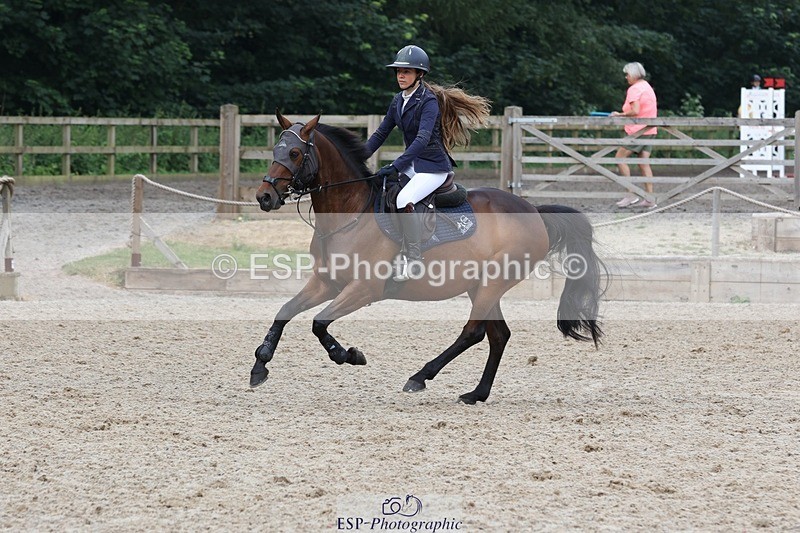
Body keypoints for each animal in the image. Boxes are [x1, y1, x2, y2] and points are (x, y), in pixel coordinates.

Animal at [250, 112, 606, 404]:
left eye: (295, 153)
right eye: (275, 151)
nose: (264, 197)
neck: (348, 213)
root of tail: (533, 210)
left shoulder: (363, 290)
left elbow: (319, 323)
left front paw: (348, 355)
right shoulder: (326, 282)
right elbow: (285, 312)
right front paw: (260, 364)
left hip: (493, 282)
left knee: (473, 332)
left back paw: (420, 377)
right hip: (480, 286)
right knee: (498, 335)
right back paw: (476, 394)